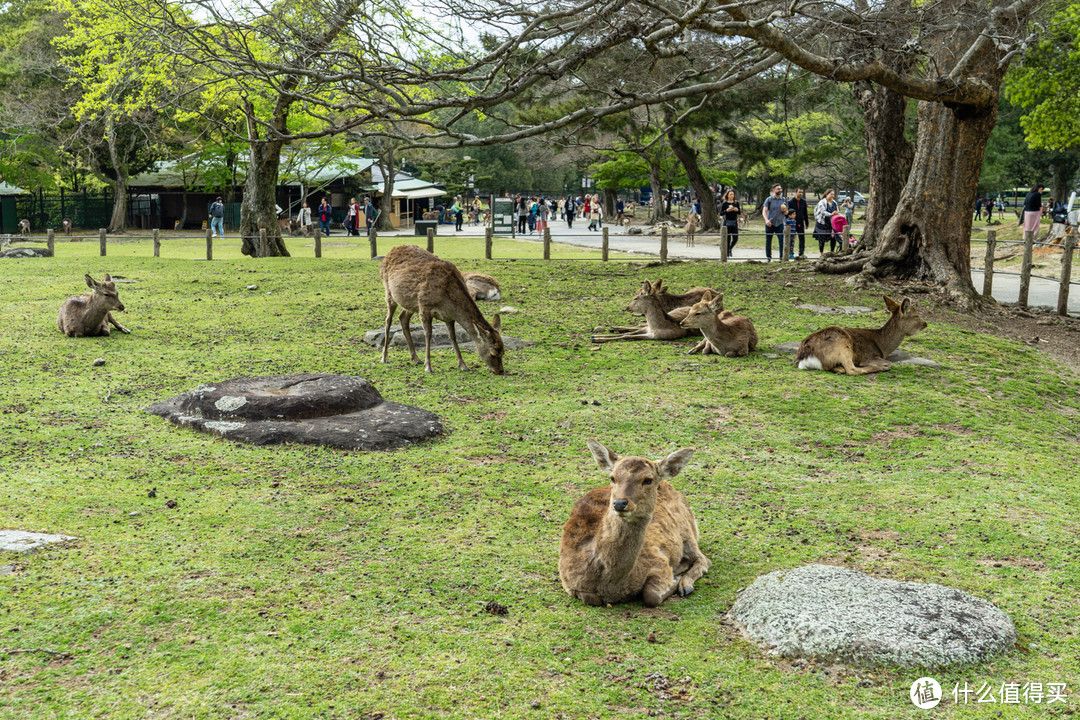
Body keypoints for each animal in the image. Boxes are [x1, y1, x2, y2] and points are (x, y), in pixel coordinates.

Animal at [380, 245, 505, 375]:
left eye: (503, 351)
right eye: (493, 354)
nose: (500, 371)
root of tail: (391, 251)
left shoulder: (448, 317)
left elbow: (453, 337)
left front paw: (463, 365)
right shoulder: (425, 306)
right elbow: (428, 334)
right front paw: (428, 367)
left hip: (411, 303)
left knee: (402, 317)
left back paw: (416, 358)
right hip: (389, 292)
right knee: (388, 320)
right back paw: (384, 357)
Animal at [561, 440, 712, 608]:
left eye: (648, 480)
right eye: (612, 478)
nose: (619, 503)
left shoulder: (659, 562)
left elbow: (651, 596)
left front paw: (676, 580)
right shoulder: (567, 581)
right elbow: (591, 599)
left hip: (687, 531)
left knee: (704, 559)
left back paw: (686, 584)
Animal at [794, 293, 928, 375]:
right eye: (916, 315)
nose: (925, 323)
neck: (883, 347)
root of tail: (804, 358)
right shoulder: (869, 356)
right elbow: (889, 362)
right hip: (842, 345)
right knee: (851, 369)